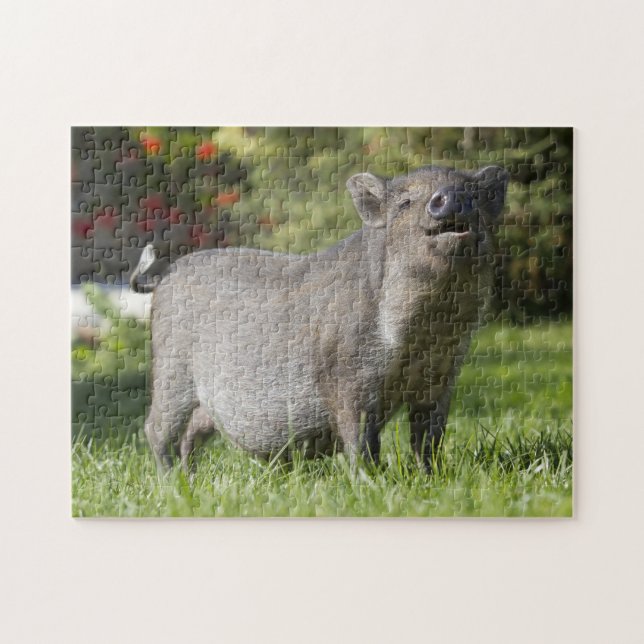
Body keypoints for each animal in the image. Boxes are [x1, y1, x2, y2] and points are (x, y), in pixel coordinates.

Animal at [131, 165, 508, 471]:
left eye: (472, 194)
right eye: (405, 203)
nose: (451, 196)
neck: (426, 332)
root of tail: (164, 276)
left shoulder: (441, 377)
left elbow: (428, 439)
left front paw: (430, 477)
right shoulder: (348, 377)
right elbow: (361, 441)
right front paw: (370, 482)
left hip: (203, 404)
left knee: (191, 435)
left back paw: (190, 479)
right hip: (172, 370)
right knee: (156, 429)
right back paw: (171, 482)